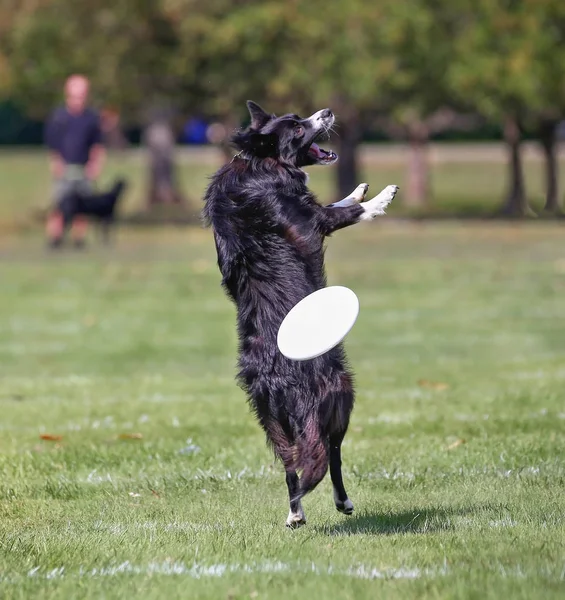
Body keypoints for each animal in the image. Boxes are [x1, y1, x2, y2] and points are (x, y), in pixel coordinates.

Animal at [203, 101, 396, 528]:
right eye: (295, 127)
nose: (327, 111)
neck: (261, 161)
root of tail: (282, 380)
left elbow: (340, 203)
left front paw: (357, 188)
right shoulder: (312, 223)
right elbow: (347, 213)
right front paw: (378, 198)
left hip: (272, 419)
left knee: (293, 463)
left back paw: (295, 514)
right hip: (341, 393)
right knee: (331, 453)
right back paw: (343, 502)